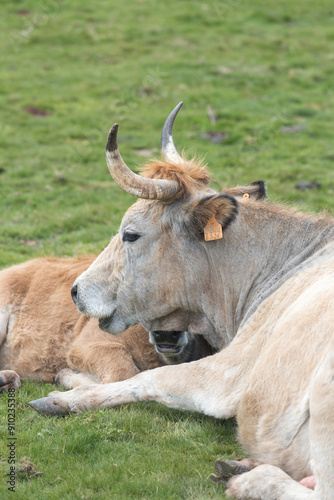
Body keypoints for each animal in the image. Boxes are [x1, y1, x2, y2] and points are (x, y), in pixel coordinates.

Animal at [29, 102, 334, 500]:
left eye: (130, 234)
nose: (76, 290)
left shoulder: (229, 372)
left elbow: (148, 378)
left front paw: (63, 398)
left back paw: (246, 477)